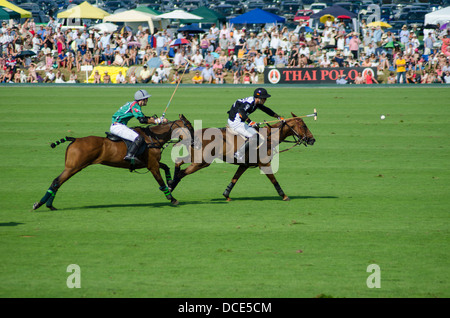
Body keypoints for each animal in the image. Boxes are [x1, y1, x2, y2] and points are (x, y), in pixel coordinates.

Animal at [31, 113, 193, 210]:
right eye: (190, 127)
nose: (194, 142)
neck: (152, 138)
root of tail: (75, 139)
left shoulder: (149, 163)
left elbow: (166, 168)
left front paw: (171, 182)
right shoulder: (152, 165)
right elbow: (160, 181)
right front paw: (172, 198)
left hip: (72, 167)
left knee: (57, 181)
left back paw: (49, 205)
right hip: (74, 167)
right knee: (57, 181)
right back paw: (39, 204)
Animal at [167, 113, 314, 200]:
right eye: (304, 125)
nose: (312, 140)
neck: (269, 137)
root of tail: (192, 134)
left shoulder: (244, 165)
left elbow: (234, 179)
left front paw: (226, 195)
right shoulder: (264, 164)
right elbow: (273, 180)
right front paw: (284, 196)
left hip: (196, 158)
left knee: (178, 162)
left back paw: (169, 186)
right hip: (202, 161)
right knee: (181, 173)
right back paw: (170, 189)